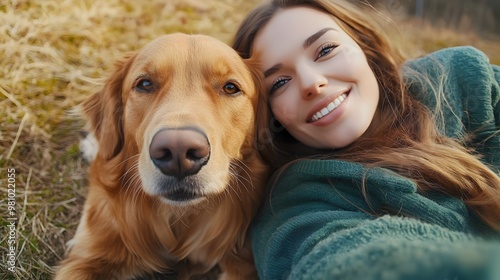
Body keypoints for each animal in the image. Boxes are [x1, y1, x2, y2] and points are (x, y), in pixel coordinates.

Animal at [55, 33, 270, 280]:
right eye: (145, 84)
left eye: (230, 87)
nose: (179, 152)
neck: (177, 217)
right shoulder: (88, 256)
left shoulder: (242, 262)